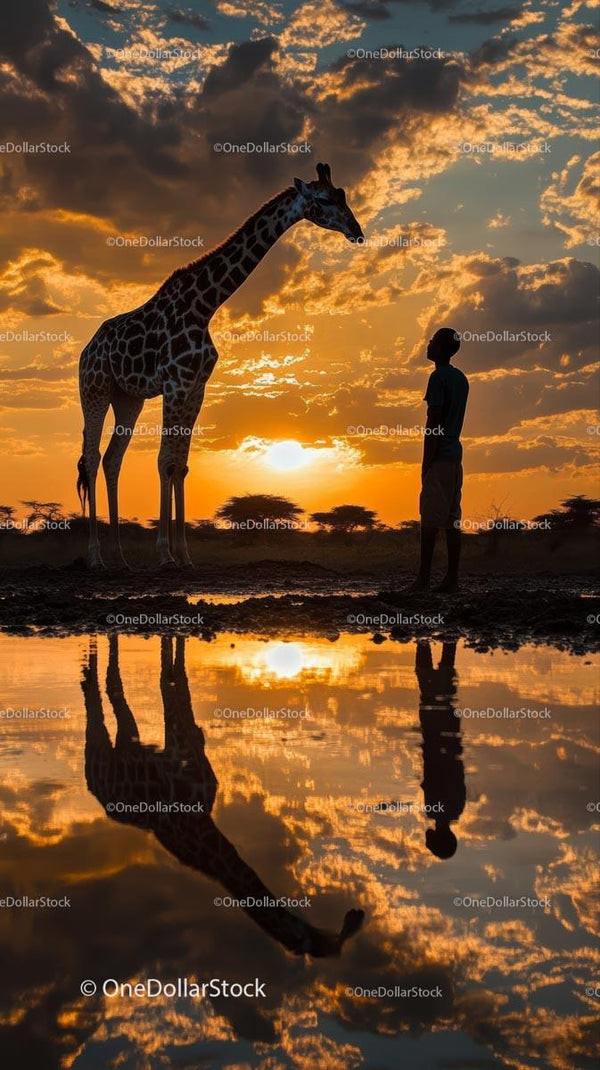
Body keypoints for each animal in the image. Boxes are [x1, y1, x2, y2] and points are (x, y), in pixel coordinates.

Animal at [77, 162, 364, 568]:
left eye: (344, 195)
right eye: (323, 199)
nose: (357, 231)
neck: (205, 305)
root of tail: (86, 350)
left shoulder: (197, 387)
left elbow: (180, 464)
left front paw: (184, 555)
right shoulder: (176, 383)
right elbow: (164, 461)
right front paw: (165, 554)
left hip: (128, 398)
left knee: (112, 459)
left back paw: (119, 557)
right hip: (95, 389)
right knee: (91, 457)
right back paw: (95, 557)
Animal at [82, 634, 364, 957]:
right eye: (328, 944)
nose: (355, 916)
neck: (198, 824)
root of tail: (97, 791)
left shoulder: (192, 743)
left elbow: (178, 677)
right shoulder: (179, 746)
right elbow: (170, 682)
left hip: (127, 743)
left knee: (116, 692)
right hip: (99, 752)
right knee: (97, 705)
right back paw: (86, 671)